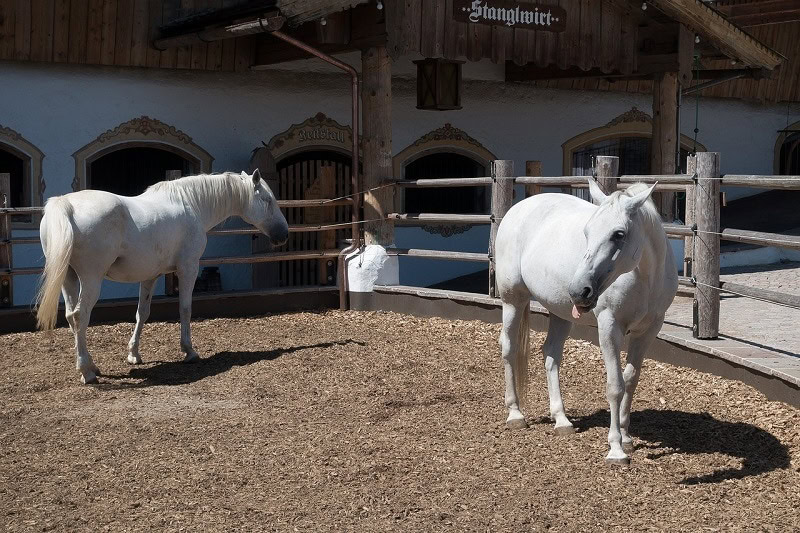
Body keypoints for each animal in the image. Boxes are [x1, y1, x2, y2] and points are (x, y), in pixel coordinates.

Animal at [35, 170, 289, 385]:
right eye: (268, 200)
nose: (284, 235)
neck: (192, 204)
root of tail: (67, 205)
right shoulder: (188, 268)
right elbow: (185, 309)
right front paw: (189, 351)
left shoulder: (150, 276)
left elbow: (142, 313)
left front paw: (133, 354)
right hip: (91, 279)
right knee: (80, 316)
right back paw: (87, 372)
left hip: (68, 278)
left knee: (71, 316)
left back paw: (91, 366)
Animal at [494, 179, 678, 464]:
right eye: (587, 232)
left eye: (619, 234)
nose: (579, 291)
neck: (645, 277)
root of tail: (518, 208)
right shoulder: (609, 327)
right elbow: (615, 385)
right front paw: (616, 448)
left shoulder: (648, 331)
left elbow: (631, 380)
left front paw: (627, 437)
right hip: (513, 300)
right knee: (509, 348)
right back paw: (515, 414)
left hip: (560, 314)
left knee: (551, 356)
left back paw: (562, 420)